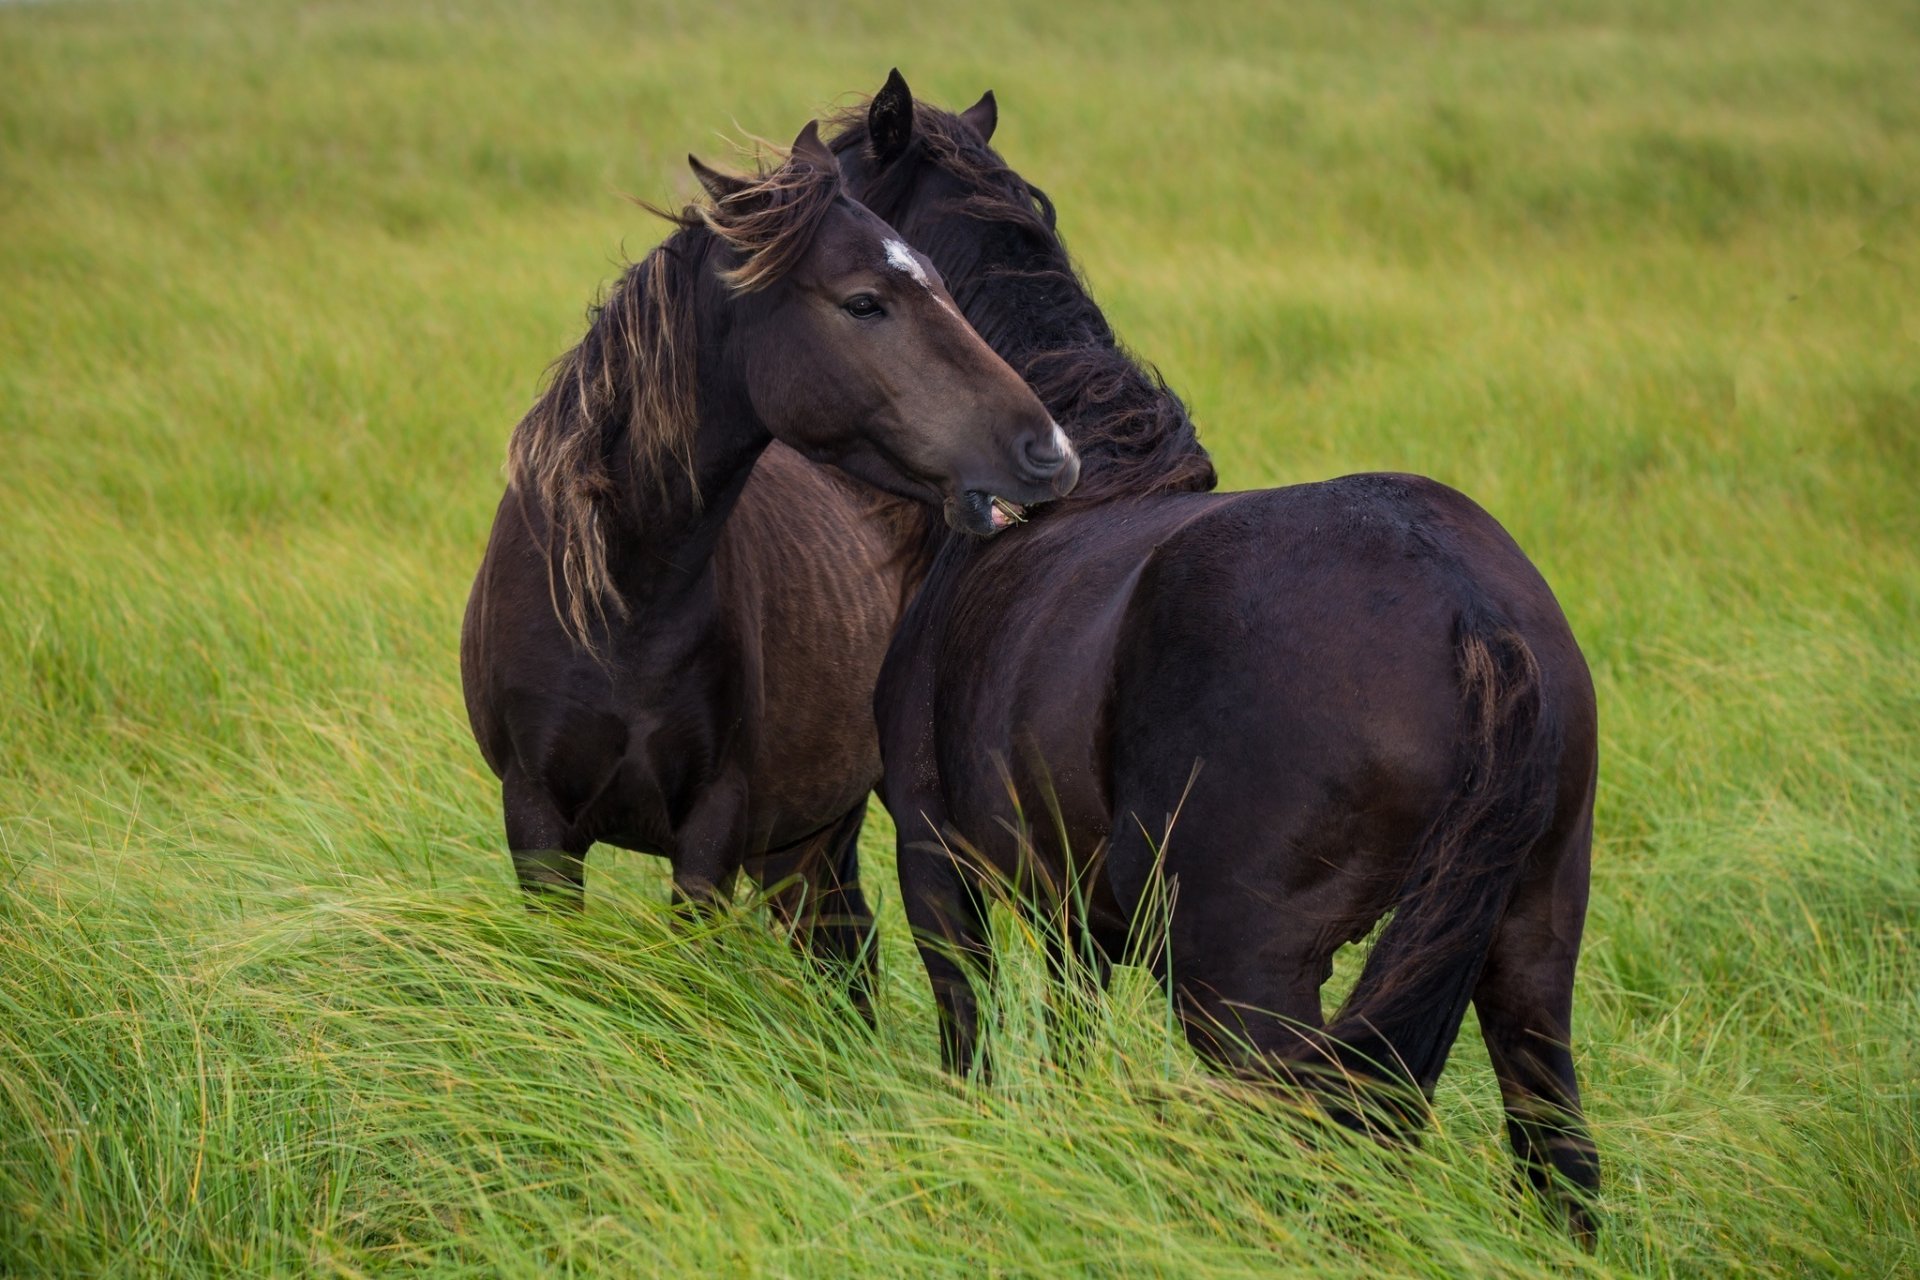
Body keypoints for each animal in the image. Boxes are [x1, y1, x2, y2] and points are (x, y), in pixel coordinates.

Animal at [831, 74, 1601, 1238]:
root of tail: (1472, 609)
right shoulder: (1079, 912)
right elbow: (1068, 1039)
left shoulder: (934, 860)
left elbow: (970, 1040)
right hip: (1529, 951)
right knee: (1559, 1158)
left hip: (1245, 978)